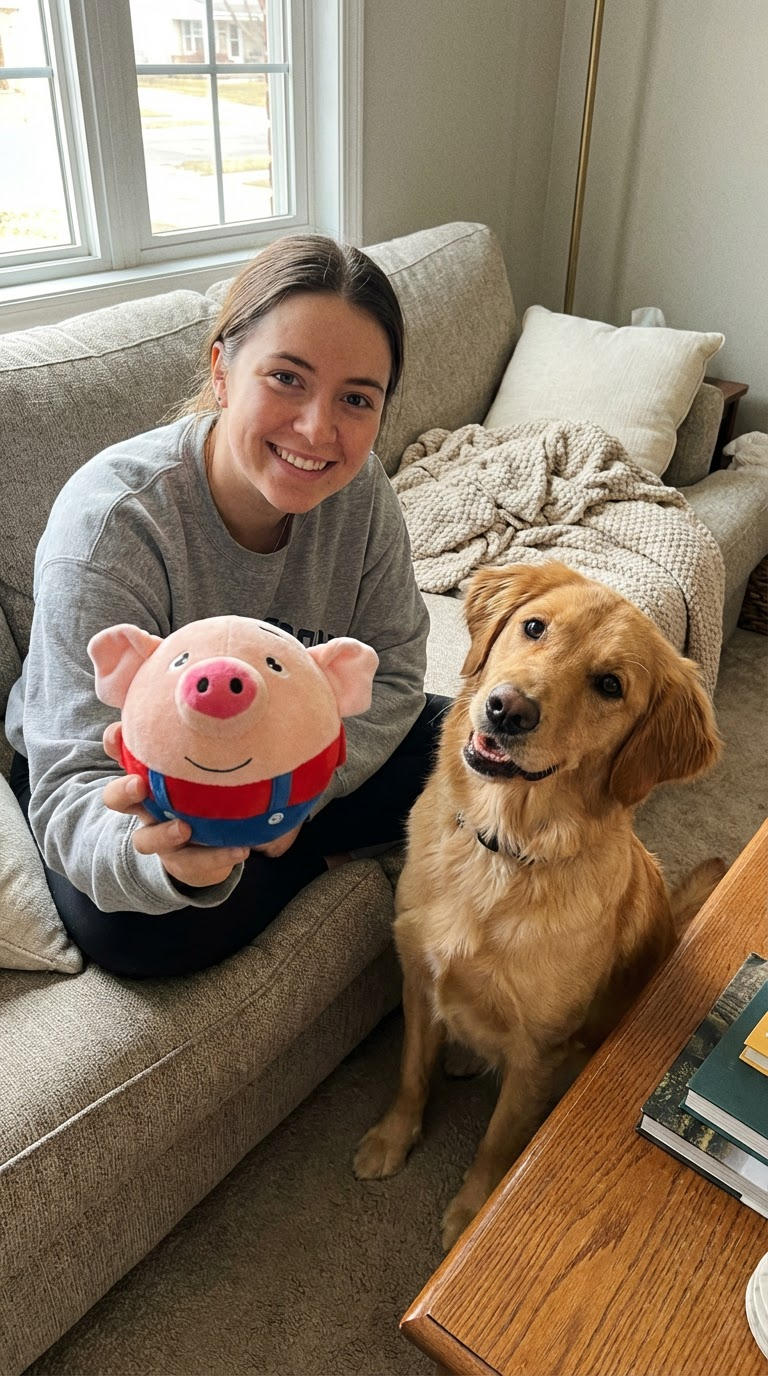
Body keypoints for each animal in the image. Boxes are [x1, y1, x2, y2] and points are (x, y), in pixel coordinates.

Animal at [354, 560, 725, 1250]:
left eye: (610, 685)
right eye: (533, 627)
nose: (508, 709)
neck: (502, 849)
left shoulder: (539, 1048)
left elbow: (500, 1141)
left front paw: (473, 1214)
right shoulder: (417, 976)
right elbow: (411, 1072)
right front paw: (392, 1139)